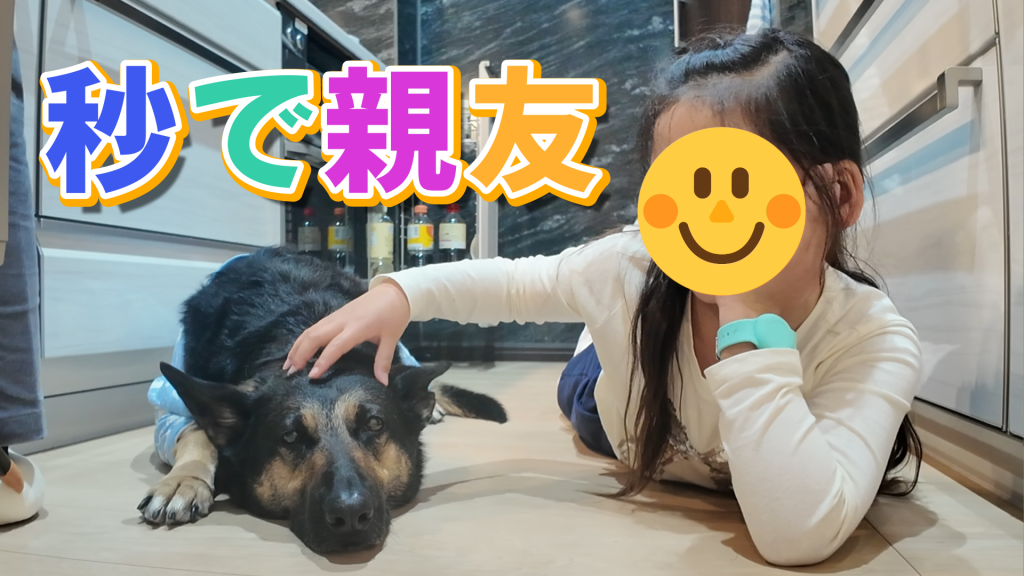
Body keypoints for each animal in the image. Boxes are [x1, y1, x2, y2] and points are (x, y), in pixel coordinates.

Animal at [138, 247, 507, 553]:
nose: (351, 515)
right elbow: (196, 432)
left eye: (374, 424)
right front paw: (184, 480)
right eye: (290, 437)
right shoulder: (172, 411)